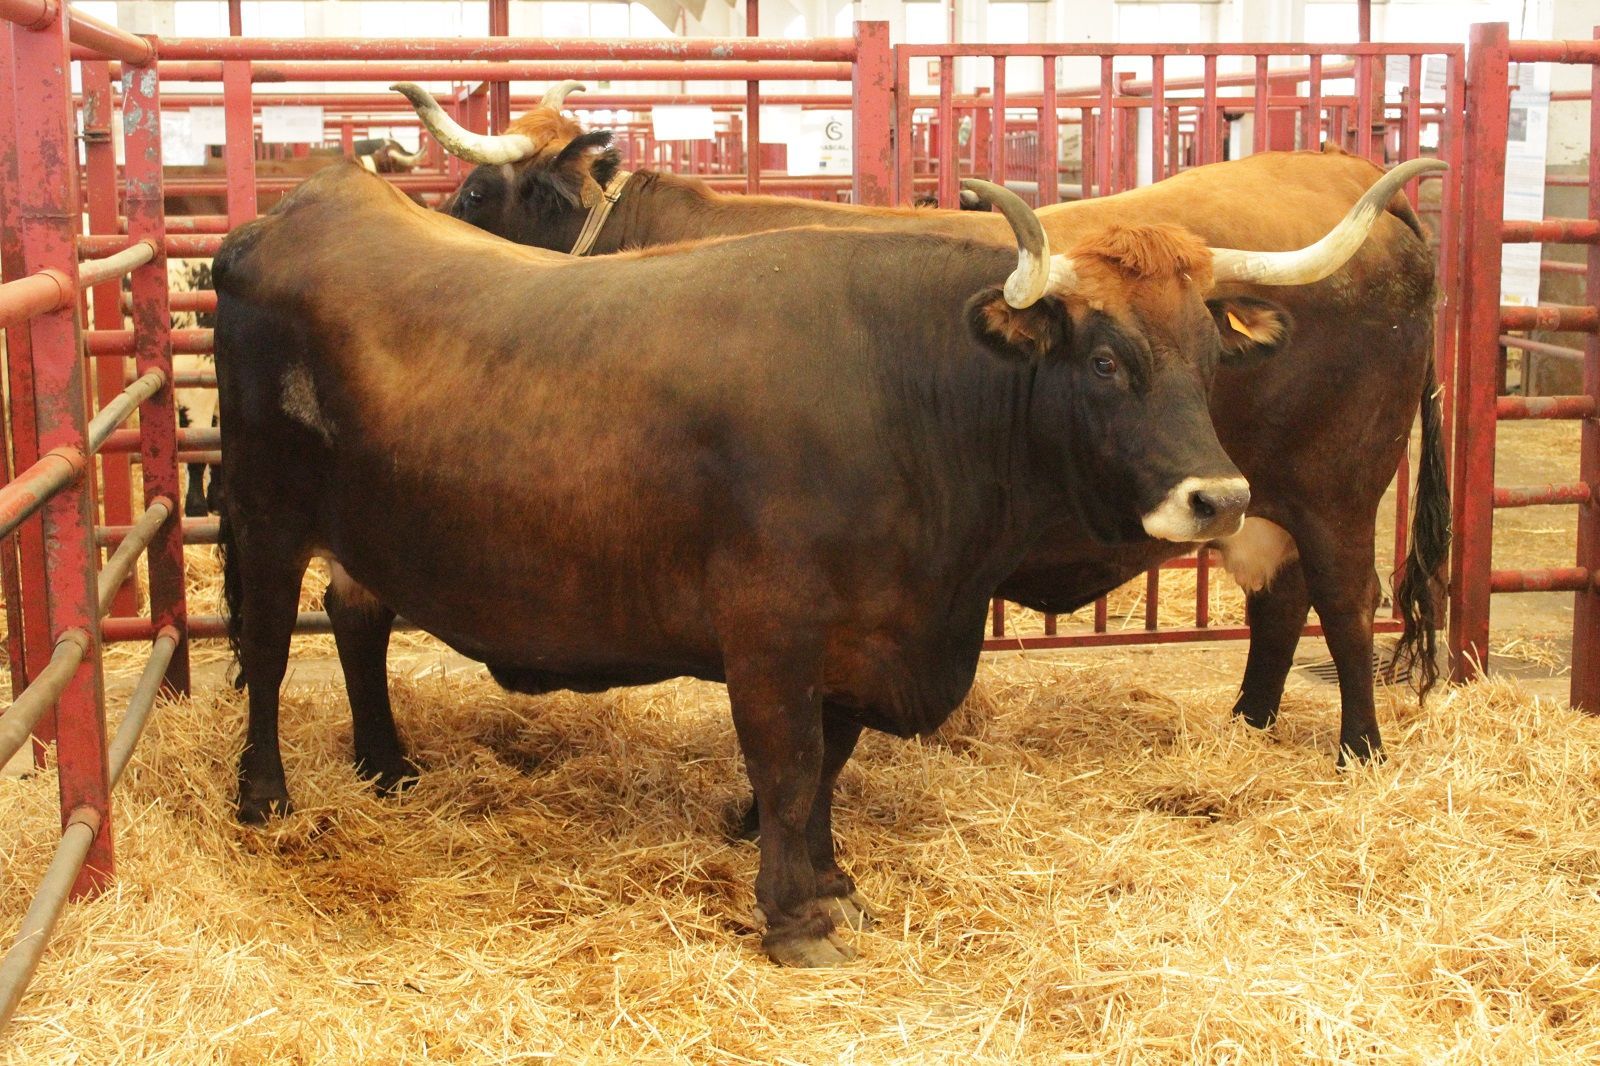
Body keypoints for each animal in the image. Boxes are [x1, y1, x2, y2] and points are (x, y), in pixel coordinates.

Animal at [213, 160, 1397, 965]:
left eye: (1207, 357)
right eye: (1105, 359)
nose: (1220, 497)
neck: (909, 389)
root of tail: (309, 203)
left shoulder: (859, 639)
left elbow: (826, 765)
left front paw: (831, 881)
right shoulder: (772, 634)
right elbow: (784, 766)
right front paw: (793, 917)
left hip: (362, 531)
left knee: (356, 618)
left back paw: (386, 763)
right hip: (265, 511)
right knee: (268, 647)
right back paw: (264, 797)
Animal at [396, 81, 1449, 765]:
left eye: (474, 192)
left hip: (1339, 491)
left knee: (1343, 605)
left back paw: (1357, 750)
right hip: (1264, 499)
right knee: (1280, 603)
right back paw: (1249, 724)